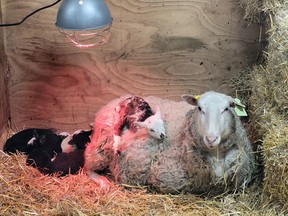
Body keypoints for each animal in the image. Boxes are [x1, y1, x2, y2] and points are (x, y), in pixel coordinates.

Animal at [84, 91, 255, 194]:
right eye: (199, 108)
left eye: (227, 108)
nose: (211, 138)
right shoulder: (166, 176)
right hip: (100, 149)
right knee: (88, 168)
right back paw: (104, 182)